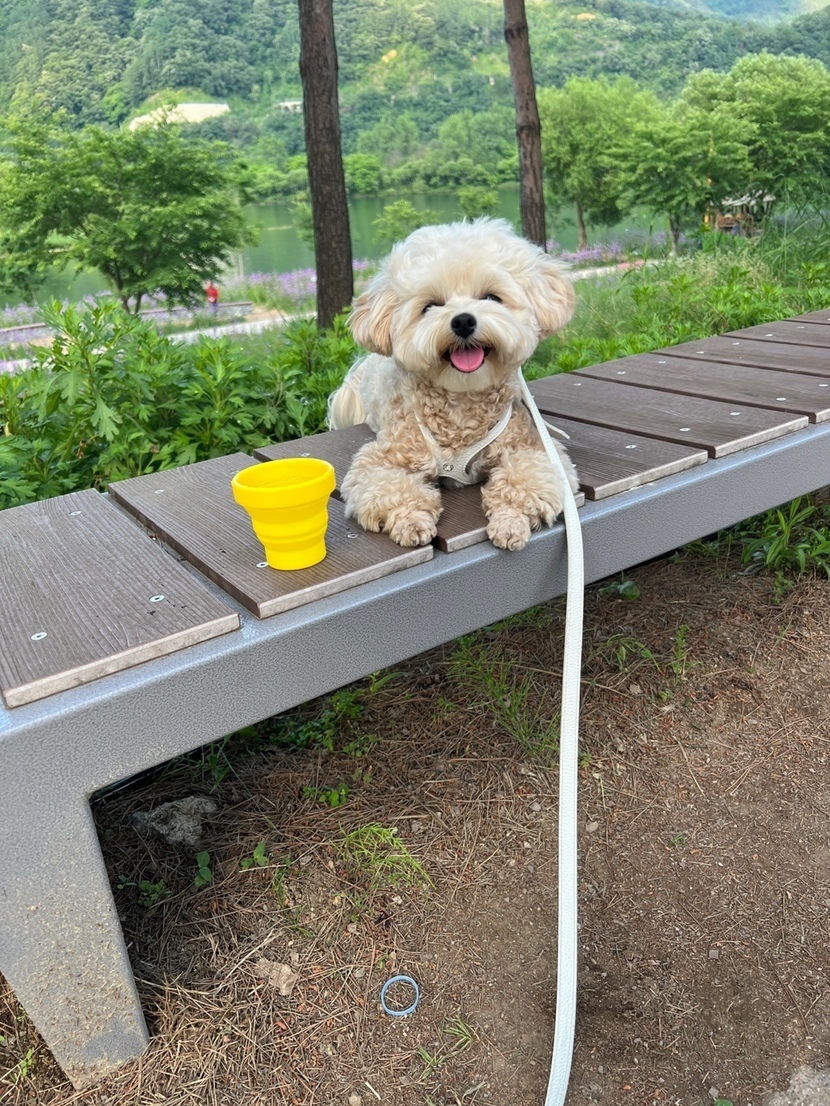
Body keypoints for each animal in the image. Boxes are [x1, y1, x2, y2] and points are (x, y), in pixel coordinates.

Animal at [327, 217, 579, 551]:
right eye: (430, 306)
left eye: (491, 297)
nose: (462, 321)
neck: (462, 402)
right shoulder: (383, 458)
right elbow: (389, 487)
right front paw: (410, 521)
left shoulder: (533, 447)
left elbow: (527, 478)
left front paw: (510, 521)